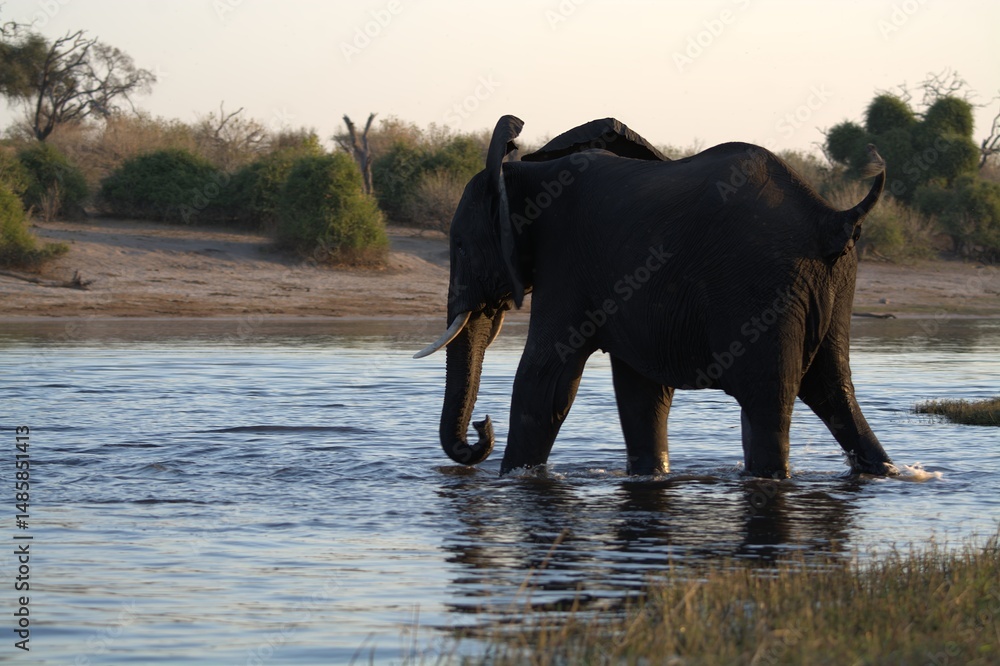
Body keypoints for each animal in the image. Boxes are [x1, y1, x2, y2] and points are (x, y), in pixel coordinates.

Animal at [414, 115, 896, 479]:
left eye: (460, 246)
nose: (482, 426)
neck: (523, 173)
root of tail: (832, 218)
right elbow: (640, 392)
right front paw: (650, 476)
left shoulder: (566, 262)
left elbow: (545, 379)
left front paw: (512, 479)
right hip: (834, 283)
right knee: (834, 391)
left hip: (763, 288)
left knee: (767, 402)